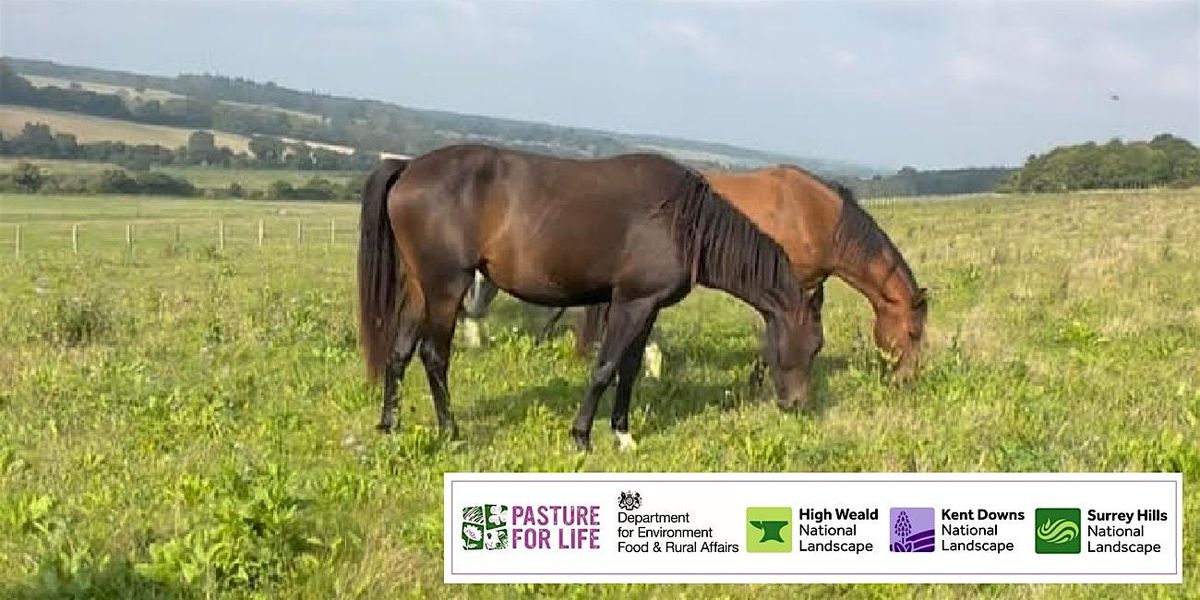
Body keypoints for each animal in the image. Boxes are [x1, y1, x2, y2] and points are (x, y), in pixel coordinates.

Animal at [355, 145, 825, 451]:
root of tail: (408, 167)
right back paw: (450, 433)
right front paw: (581, 436)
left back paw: (389, 425)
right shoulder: (631, 304)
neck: (683, 220)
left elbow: (630, 370)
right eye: (814, 344)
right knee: (433, 355)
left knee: (399, 353)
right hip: (446, 288)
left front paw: (623, 434)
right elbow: (605, 367)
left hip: (421, 289)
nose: (798, 404)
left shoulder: (647, 306)